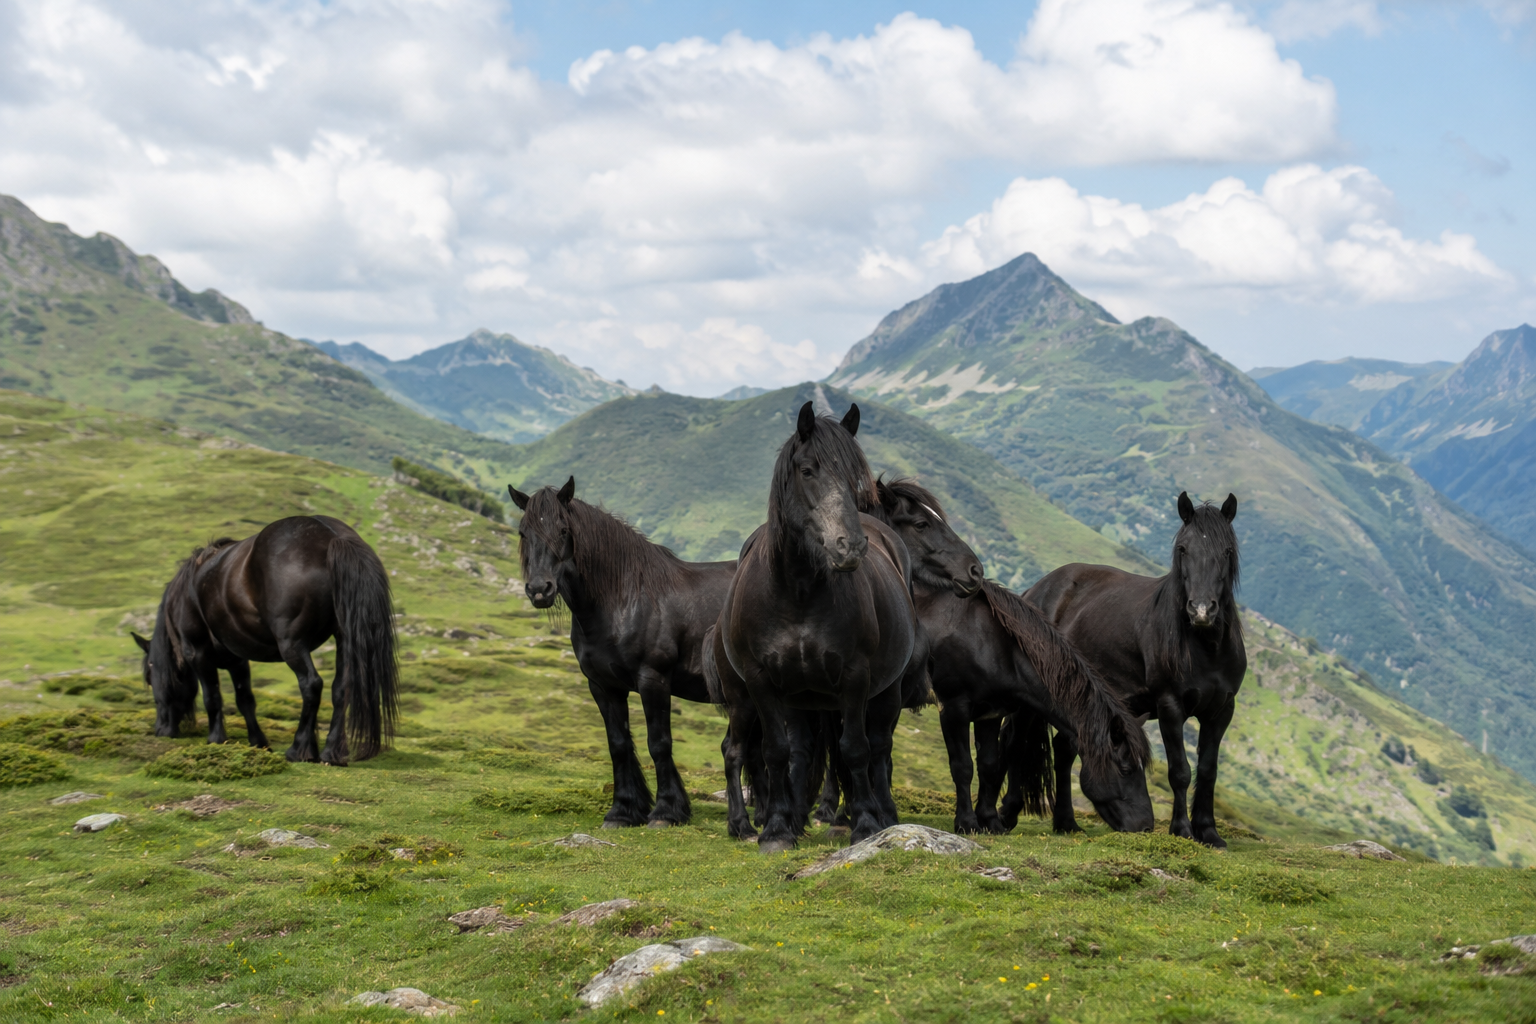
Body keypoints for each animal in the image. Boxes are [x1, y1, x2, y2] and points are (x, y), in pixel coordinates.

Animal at [131, 516, 398, 764]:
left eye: (150, 677)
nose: (161, 729)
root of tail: (332, 536)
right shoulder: (237, 659)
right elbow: (245, 700)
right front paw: (258, 742)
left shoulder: (198, 653)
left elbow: (212, 698)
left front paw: (216, 739)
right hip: (343, 639)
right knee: (341, 688)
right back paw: (330, 752)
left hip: (292, 644)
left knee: (311, 685)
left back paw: (298, 749)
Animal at [508, 476, 735, 828]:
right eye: (522, 532)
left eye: (563, 530)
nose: (539, 590)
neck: (624, 599)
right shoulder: (603, 686)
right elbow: (618, 744)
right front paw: (623, 811)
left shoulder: (653, 681)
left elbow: (659, 743)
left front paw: (666, 811)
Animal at [712, 401, 918, 852]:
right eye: (807, 471)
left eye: (854, 476)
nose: (850, 547)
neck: (798, 593)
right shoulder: (761, 681)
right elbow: (776, 751)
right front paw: (776, 829)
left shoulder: (856, 678)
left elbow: (855, 749)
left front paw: (865, 823)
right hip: (777, 698)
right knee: (770, 750)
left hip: (885, 691)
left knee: (879, 747)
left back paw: (883, 814)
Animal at [1025, 492, 1246, 847]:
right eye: (1183, 549)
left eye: (1227, 551)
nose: (1201, 611)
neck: (1205, 649)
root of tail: (1040, 588)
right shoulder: (1170, 706)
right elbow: (1180, 771)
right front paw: (1182, 830)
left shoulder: (1221, 710)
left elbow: (1208, 771)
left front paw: (1209, 833)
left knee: (1065, 749)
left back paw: (1066, 823)